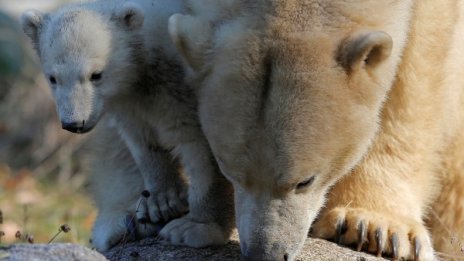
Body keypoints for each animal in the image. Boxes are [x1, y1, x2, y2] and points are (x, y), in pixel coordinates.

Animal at [20, 0, 234, 251]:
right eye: (53, 78)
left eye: (96, 74)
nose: (74, 123)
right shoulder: (130, 100)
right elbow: (141, 140)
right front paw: (162, 201)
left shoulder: (187, 86)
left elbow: (202, 149)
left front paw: (197, 227)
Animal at [169, 0, 464, 258]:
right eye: (231, 174)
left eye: (305, 181)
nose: (264, 253)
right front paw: (198, 221)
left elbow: (417, 63)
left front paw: (375, 228)